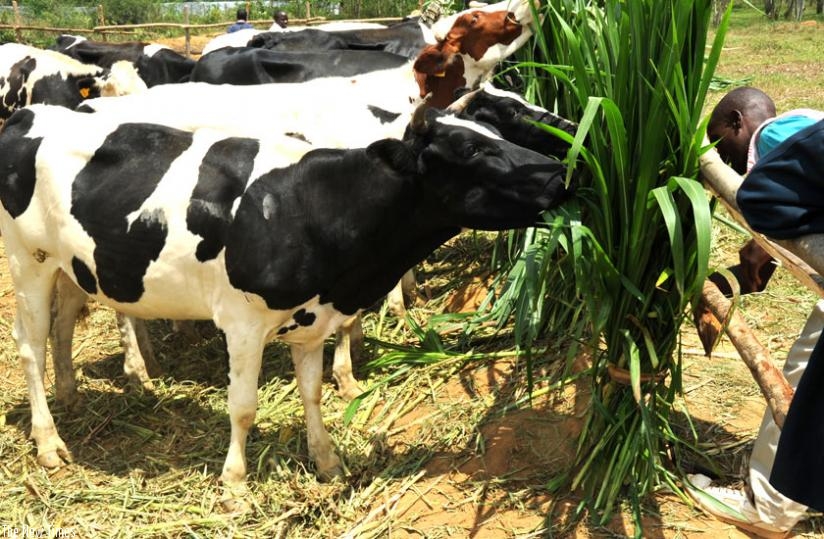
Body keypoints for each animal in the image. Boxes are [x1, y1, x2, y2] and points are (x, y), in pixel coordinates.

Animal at [0, 102, 573, 502]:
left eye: (498, 135)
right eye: (471, 150)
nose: (562, 174)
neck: (310, 205)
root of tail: (30, 112)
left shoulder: (313, 320)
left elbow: (313, 394)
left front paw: (327, 460)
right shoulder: (242, 323)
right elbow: (243, 407)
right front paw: (234, 484)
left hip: (74, 264)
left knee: (63, 325)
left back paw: (72, 395)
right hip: (29, 260)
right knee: (29, 344)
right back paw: (49, 443)